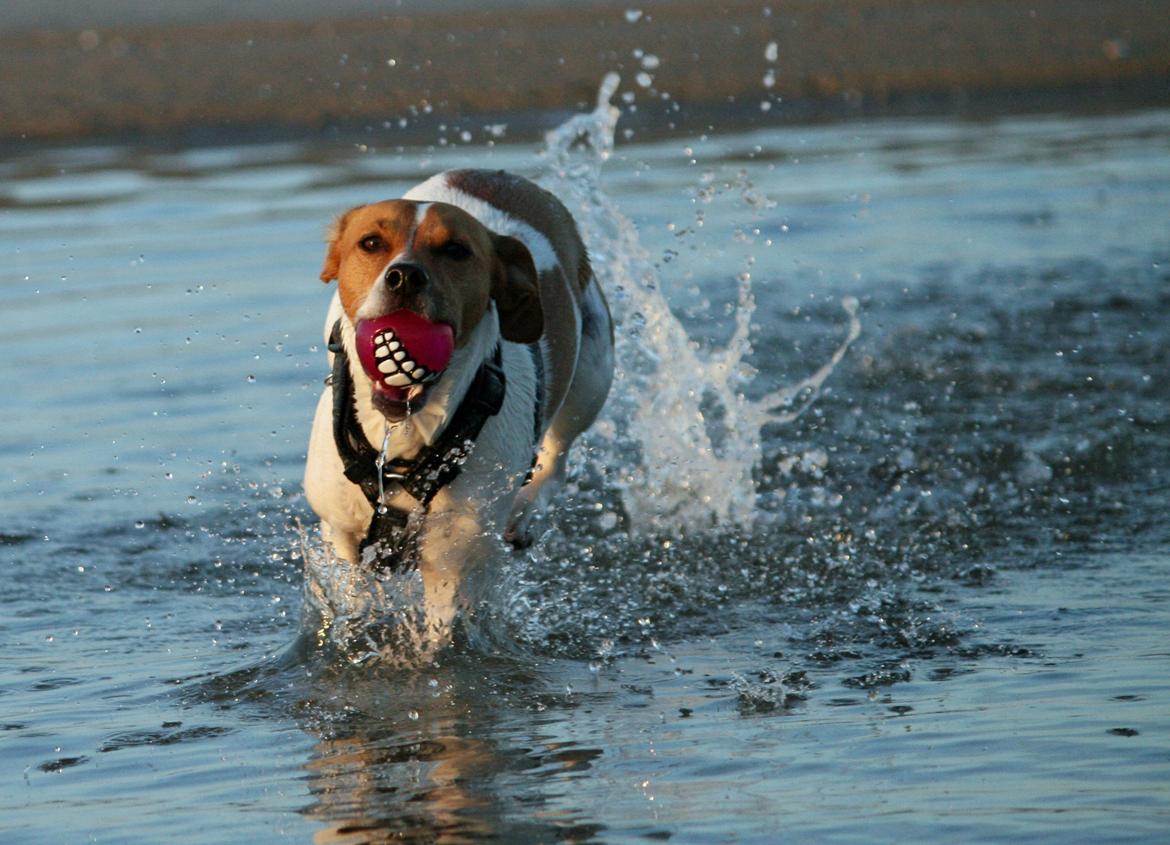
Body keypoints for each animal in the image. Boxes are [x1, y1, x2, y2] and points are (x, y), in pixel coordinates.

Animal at [304, 167, 613, 636]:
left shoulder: (454, 558)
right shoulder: (340, 530)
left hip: (593, 373)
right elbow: (354, 595)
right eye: (370, 243)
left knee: (556, 459)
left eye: (455, 251)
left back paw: (523, 509)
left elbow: (443, 630)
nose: (405, 276)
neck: (403, 440)